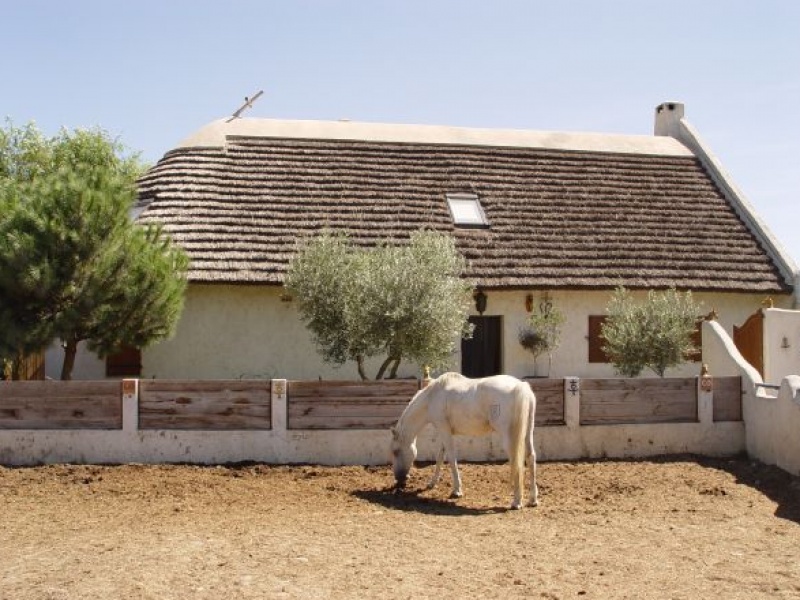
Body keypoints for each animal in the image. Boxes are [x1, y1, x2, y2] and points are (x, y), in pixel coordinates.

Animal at [390, 372, 536, 508]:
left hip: (510, 438)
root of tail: (520, 386)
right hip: (528, 433)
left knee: (516, 461)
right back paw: (533, 500)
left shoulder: (444, 430)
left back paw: (516, 502)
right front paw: (432, 483)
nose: (399, 479)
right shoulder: (445, 432)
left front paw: (457, 490)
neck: (432, 397)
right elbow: (440, 457)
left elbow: (451, 458)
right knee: (530, 457)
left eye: (395, 451)